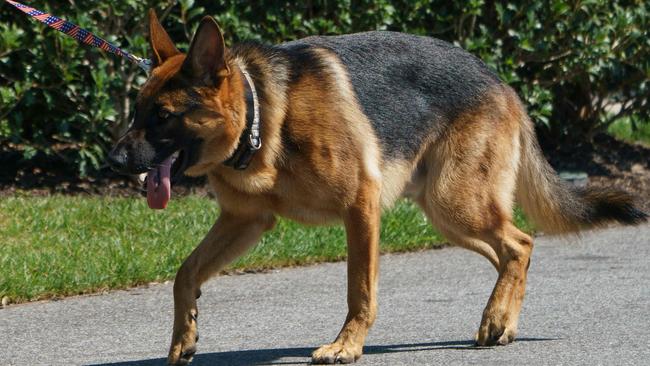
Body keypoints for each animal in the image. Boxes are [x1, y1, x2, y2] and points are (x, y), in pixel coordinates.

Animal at [107, 10, 644, 364]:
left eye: (163, 116)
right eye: (137, 111)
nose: (113, 161)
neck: (262, 118)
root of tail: (500, 81)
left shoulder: (360, 208)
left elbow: (359, 291)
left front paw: (346, 346)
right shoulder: (246, 221)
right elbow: (185, 274)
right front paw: (183, 338)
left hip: (456, 202)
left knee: (521, 242)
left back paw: (497, 319)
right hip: (448, 212)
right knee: (511, 250)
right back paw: (502, 317)